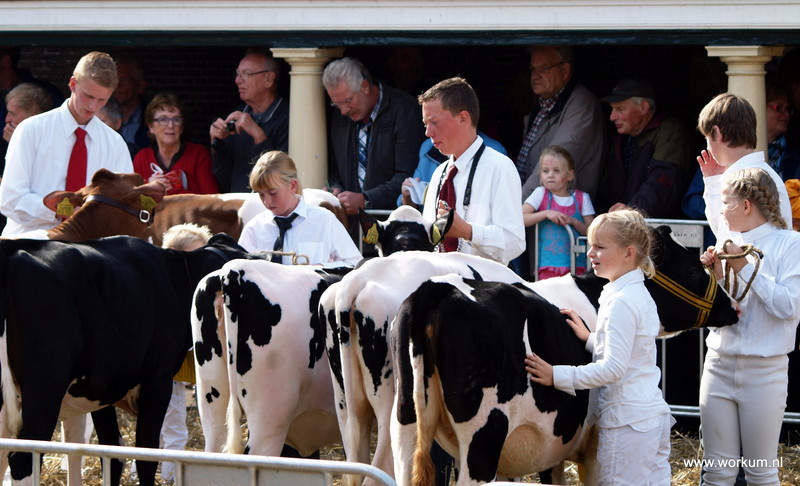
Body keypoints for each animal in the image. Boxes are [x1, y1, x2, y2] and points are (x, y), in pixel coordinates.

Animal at [0, 233, 257, 486]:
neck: (172, 276)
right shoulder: (157, 380)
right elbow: (145, 457)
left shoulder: (99, 389)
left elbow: (112, 452)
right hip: (45, 388)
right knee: (22, 459)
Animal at [322, 225, 738, 485]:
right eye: (692, 268)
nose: (731, 307)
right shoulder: (591, 445)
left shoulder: (544, 447)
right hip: (481, 435)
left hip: (378, 416)